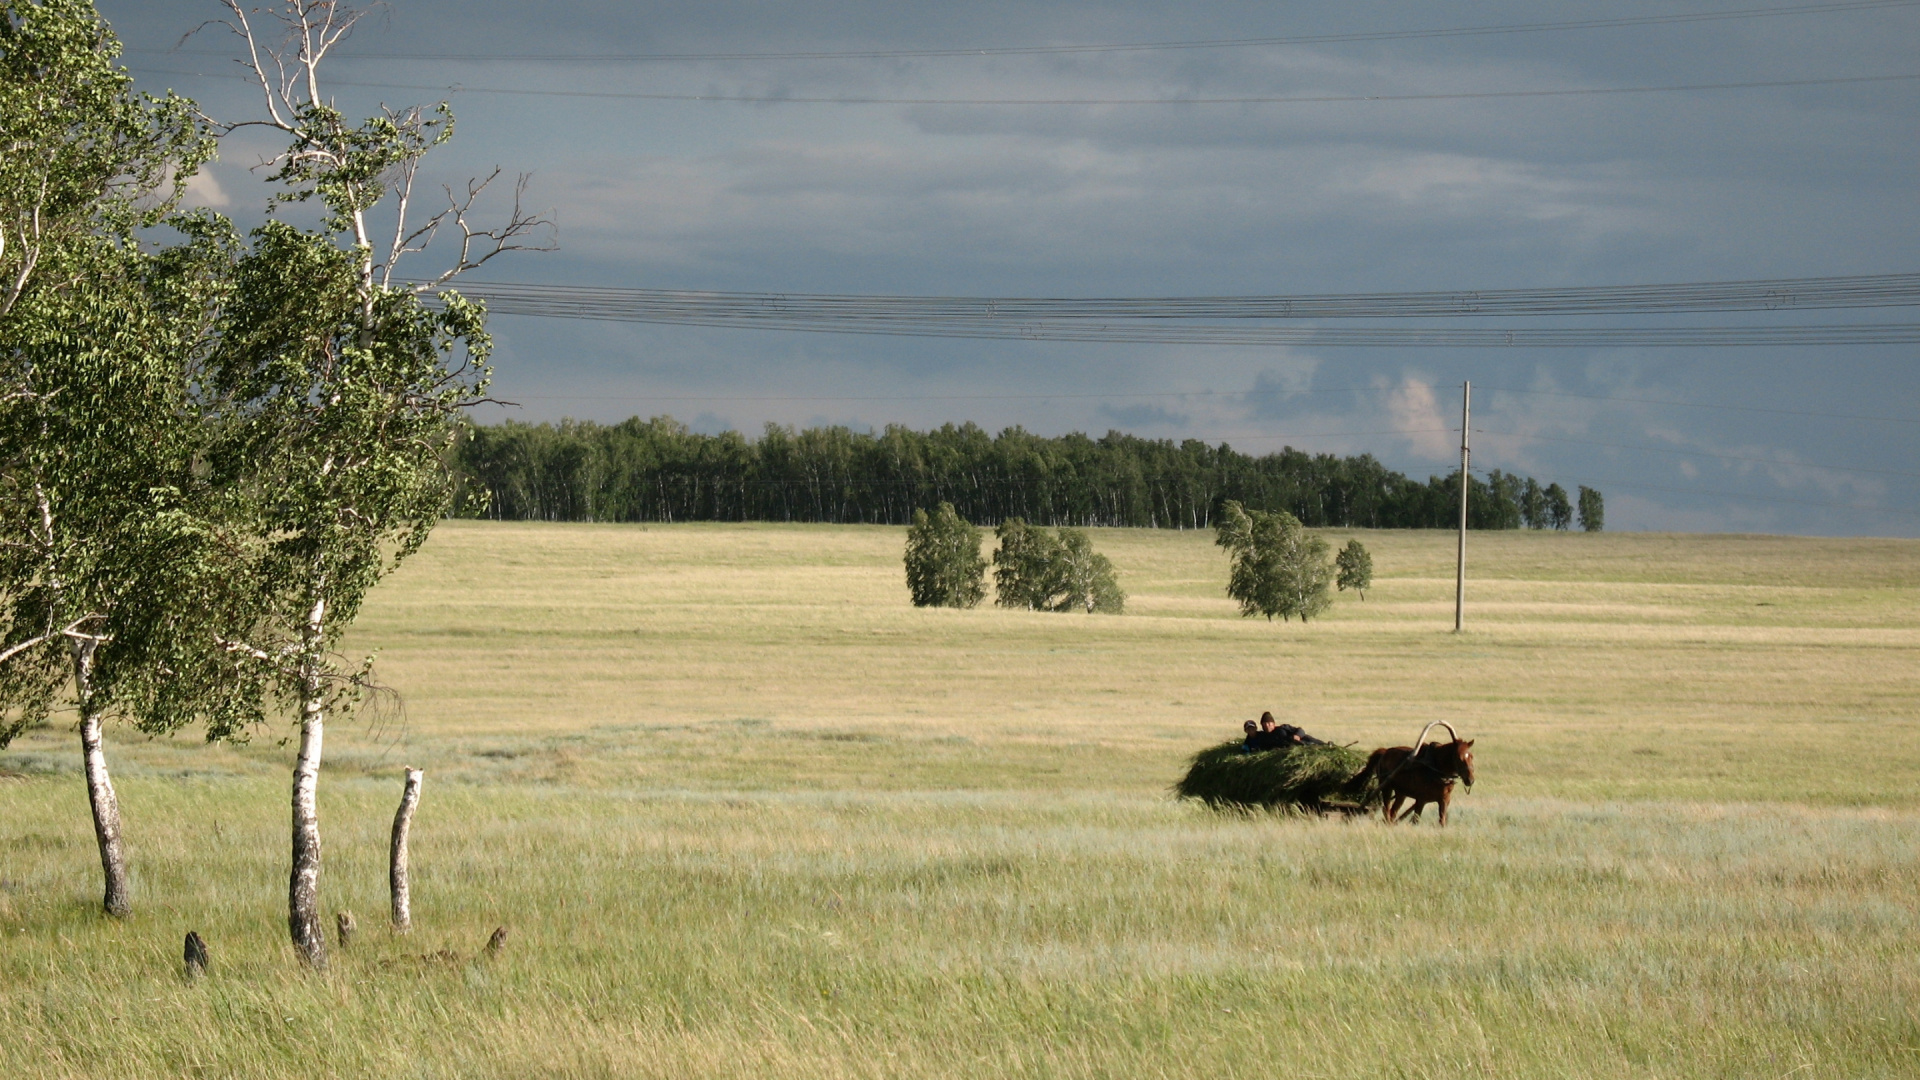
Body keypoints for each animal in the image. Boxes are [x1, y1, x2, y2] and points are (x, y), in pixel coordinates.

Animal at [1344, 730, 1474, 822]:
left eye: (1471, 756)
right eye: (1458, 757)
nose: (1470, 780)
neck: (1435, 768)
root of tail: (1385, 751)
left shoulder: (1445, 800)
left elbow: (1442, 821)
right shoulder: (1421, 799)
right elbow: (1415, 820)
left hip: (1401, 793)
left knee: (1393, 812)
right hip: (1386, 787)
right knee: (1387, 810)